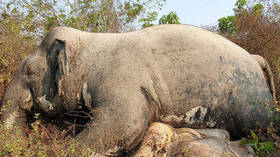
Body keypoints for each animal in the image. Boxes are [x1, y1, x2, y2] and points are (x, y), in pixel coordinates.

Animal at [0, 24, 276, 155]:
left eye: (28, 71)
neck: (90, 43)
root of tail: (256, 57)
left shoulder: (122, 80)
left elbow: (125, 125)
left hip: (253, 102)